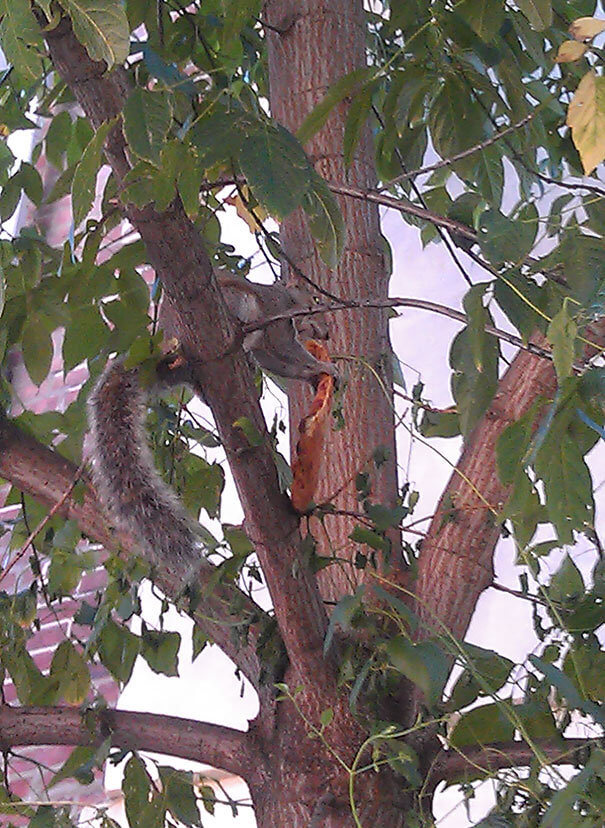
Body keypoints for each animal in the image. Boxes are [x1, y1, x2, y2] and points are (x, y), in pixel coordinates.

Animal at [87, 274, 336, 572]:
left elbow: (282, 364)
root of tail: (167, 348)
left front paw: (314, 376)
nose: (327, 333)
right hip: (234, 302)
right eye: (316, 299)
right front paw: (323, 368)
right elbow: (288, 352)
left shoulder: (268, 345)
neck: (288, 303)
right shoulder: (276, 319)